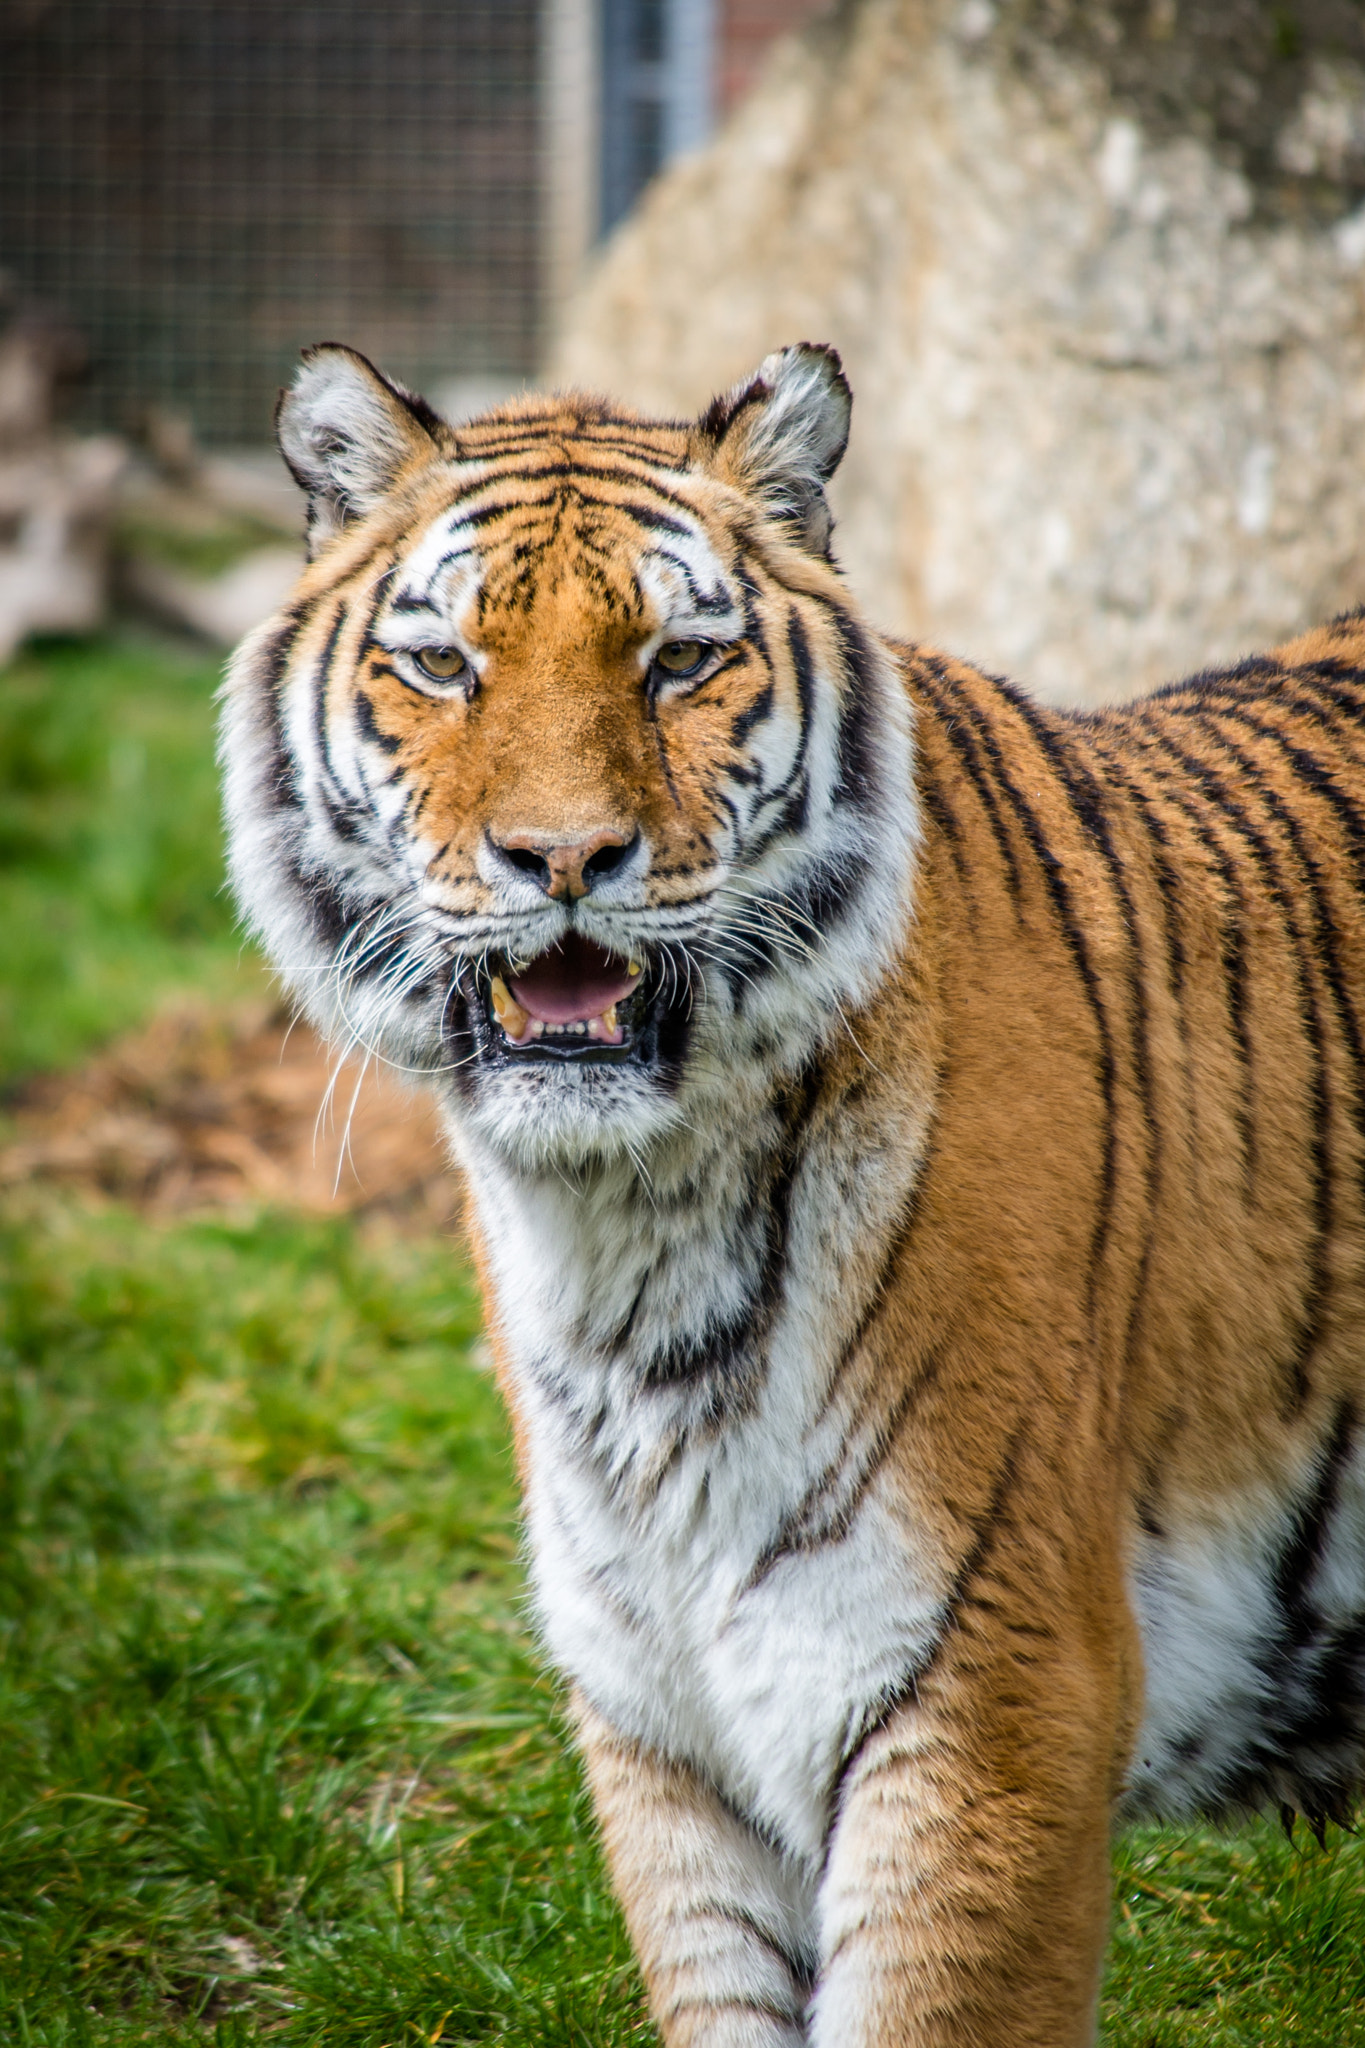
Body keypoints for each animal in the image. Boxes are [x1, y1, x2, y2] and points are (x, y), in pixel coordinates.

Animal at [221, 338, 1365, 2046]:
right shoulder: (664, 1736)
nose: (564, 857)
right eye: (441, 667)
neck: (626, 1224)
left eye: (681, 662)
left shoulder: (987, 1701)